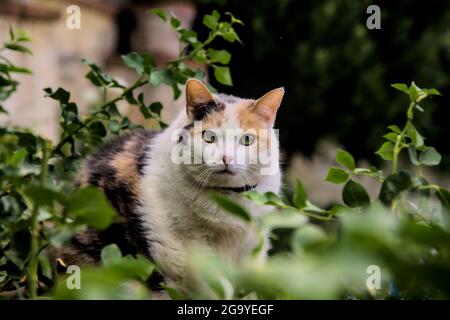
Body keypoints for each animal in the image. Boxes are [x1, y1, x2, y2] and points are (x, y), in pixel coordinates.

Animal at [54, 79, 284, 292]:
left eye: (247, 140)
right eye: (209, 137)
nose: (227, 158)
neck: (228, 202)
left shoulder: (254, 249)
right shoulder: (197, 249)